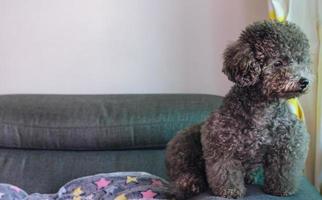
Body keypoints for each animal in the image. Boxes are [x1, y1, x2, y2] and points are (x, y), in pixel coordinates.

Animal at [165, 19, 310, 198]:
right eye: (278, 63)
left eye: (300, 61)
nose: (304, 81)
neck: (263, 109)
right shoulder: (221, 143)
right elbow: (226, 171)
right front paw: (230, 190)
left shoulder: (288, 142)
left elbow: (282, 170)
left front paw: (280, 188)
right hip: (185, 141)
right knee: (186, 171)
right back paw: (189, 184)